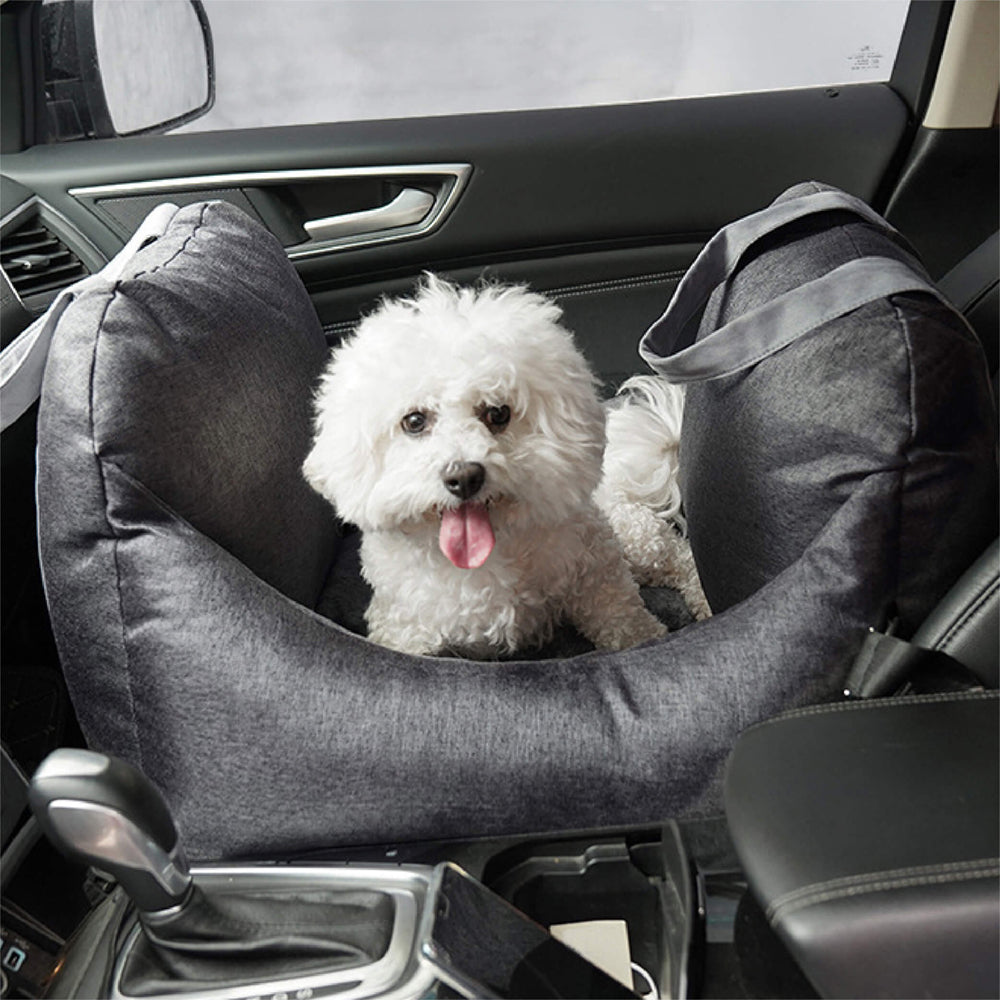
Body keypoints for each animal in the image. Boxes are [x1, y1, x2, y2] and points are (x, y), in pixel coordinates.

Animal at [304, 278, 712, 660]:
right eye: (414, 421)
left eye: (498, 413)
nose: (464, 477)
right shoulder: (404, 623)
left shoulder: (595, 567)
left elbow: (622, 616)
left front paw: (647, 638)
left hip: (634, 537)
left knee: (679, 558)